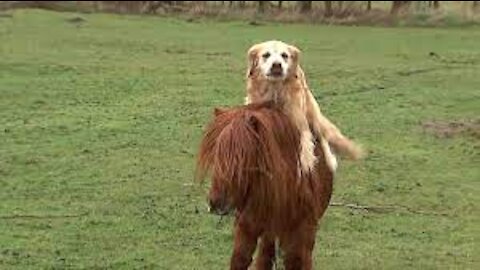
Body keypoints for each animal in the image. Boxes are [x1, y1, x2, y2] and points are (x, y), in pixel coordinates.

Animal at [196, 102, 334, 270]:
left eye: (243, 156)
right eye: (215, 154)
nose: (216, 202)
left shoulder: (304, 233)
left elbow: (297, 261)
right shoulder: (248, 226)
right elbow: (241, 259)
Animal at [244, 40, 364, 175]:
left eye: (284, 55)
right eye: (266, 55)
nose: (277, 65)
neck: (274, 89)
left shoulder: (300, 121)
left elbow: (306, 141)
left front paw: (306, 163)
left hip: (313, 117)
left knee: (323, 138)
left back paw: (330, 161)